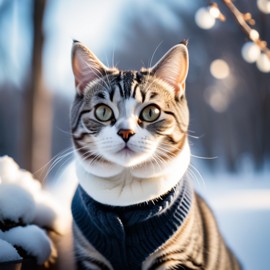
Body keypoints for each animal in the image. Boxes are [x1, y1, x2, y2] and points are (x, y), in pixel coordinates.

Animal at [70, 40, 242, 270]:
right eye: (103, 112)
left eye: (151, 112)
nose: (125, 132)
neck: (126, 191)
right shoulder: (89, 258)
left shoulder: (180, 258)